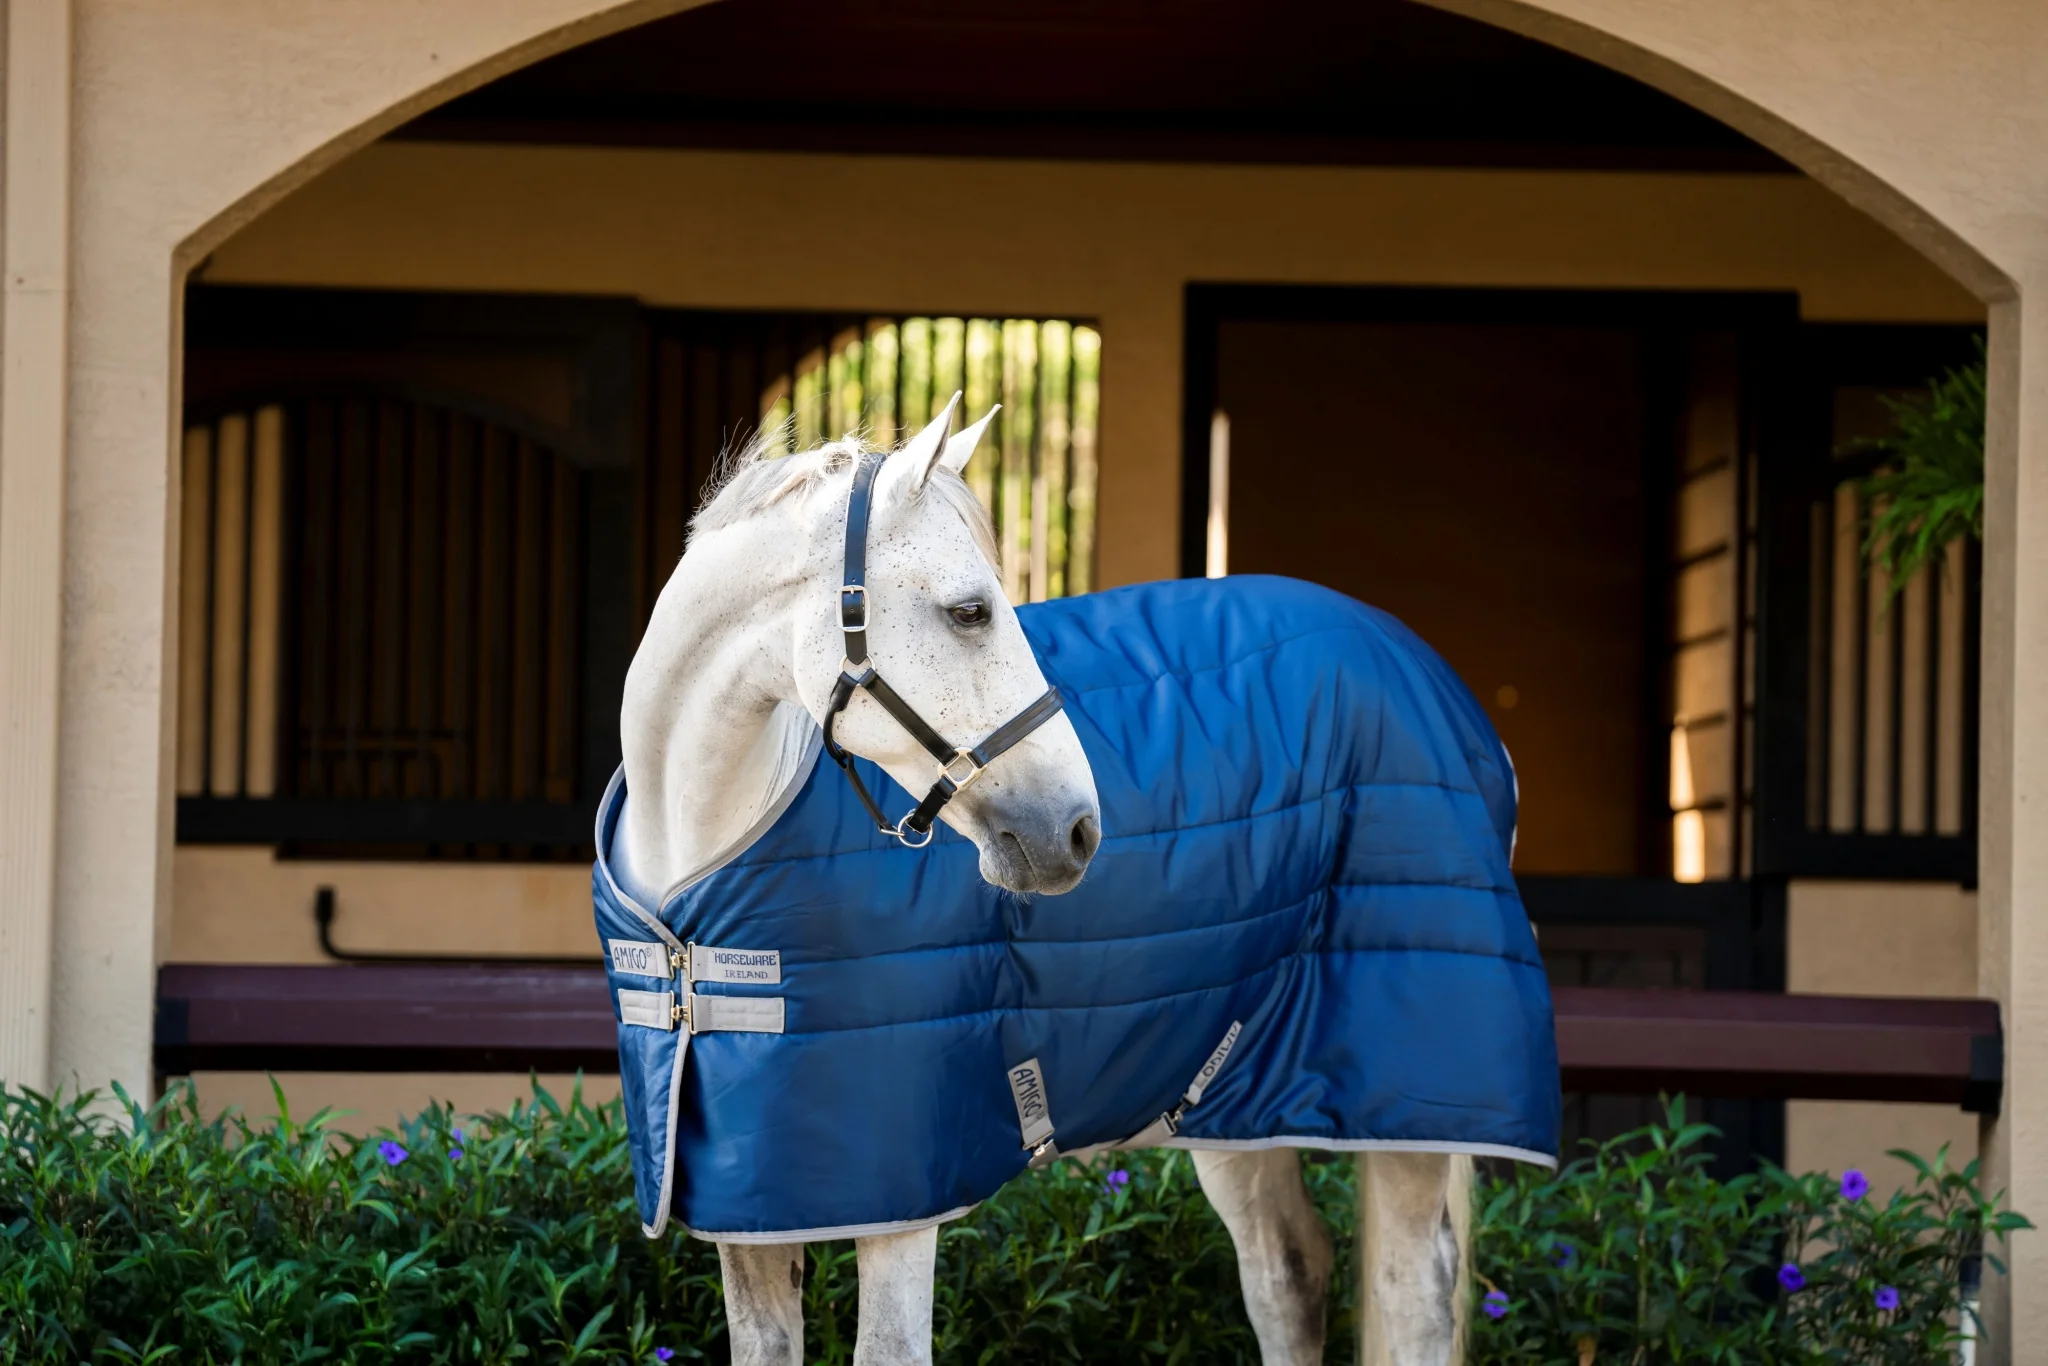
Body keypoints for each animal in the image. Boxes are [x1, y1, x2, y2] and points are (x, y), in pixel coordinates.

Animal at [600, 400, 1555, 1365]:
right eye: (971, 610)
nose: (1076, 831)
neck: (690, 915)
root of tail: (1436, 680)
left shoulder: (905, 1193)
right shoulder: (750, 1209)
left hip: (1405, 1108)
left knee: (1412, 1294)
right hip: (1235, 1092)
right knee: (1288, 1273)